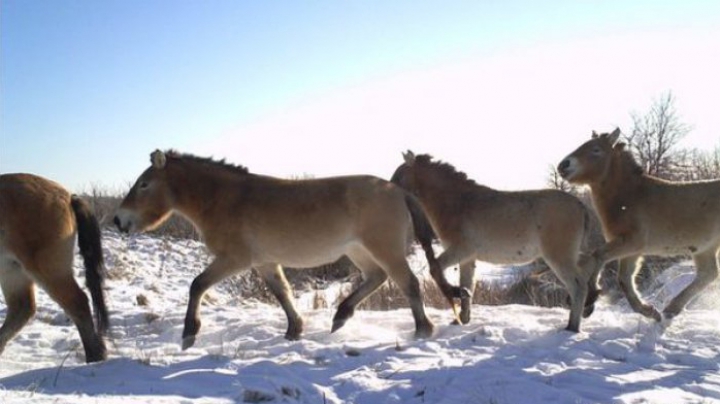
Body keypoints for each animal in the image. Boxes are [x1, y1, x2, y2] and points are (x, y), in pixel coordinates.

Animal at [0, 174, 108, 362]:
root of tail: (68, 196)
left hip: (47, 271)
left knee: (78, 304)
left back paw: (95, 357)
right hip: (12, 271)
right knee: (22, 309)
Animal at [115, 150, 436, 348]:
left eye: (144, 184)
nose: (119, 220)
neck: (225, 200)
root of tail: (399, 191)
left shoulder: (234, 259)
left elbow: (197, 285)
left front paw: (188, 334)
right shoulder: (264, 263)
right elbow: (282, 293)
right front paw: (295, 330)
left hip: (384, 249)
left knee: (408, 282)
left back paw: (423, 329)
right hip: (360, 251)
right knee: (377, 278)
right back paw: (340, 317)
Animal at [390, 152, 600, 332]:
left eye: (399, 176)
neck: (457, 203)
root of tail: (581, 206)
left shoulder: (460, 250)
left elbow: (435, 269)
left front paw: (456, 293)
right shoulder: (467, 258)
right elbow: (468, 283)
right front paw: (462, 316)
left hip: (559, 256)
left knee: (578, 285)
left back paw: (572, 326)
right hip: (569, 255)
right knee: (591, 263)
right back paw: (589, 304)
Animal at [560, 129, 720, 322]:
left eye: (596, 149)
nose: (563, 165)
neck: (630, 196)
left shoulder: (632, 242)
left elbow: (598, 256)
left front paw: (590, 297)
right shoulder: (632, 250)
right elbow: (624, 278)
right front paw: (648, 311)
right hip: (704, 249)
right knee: (708, 274)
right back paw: (671, 309)